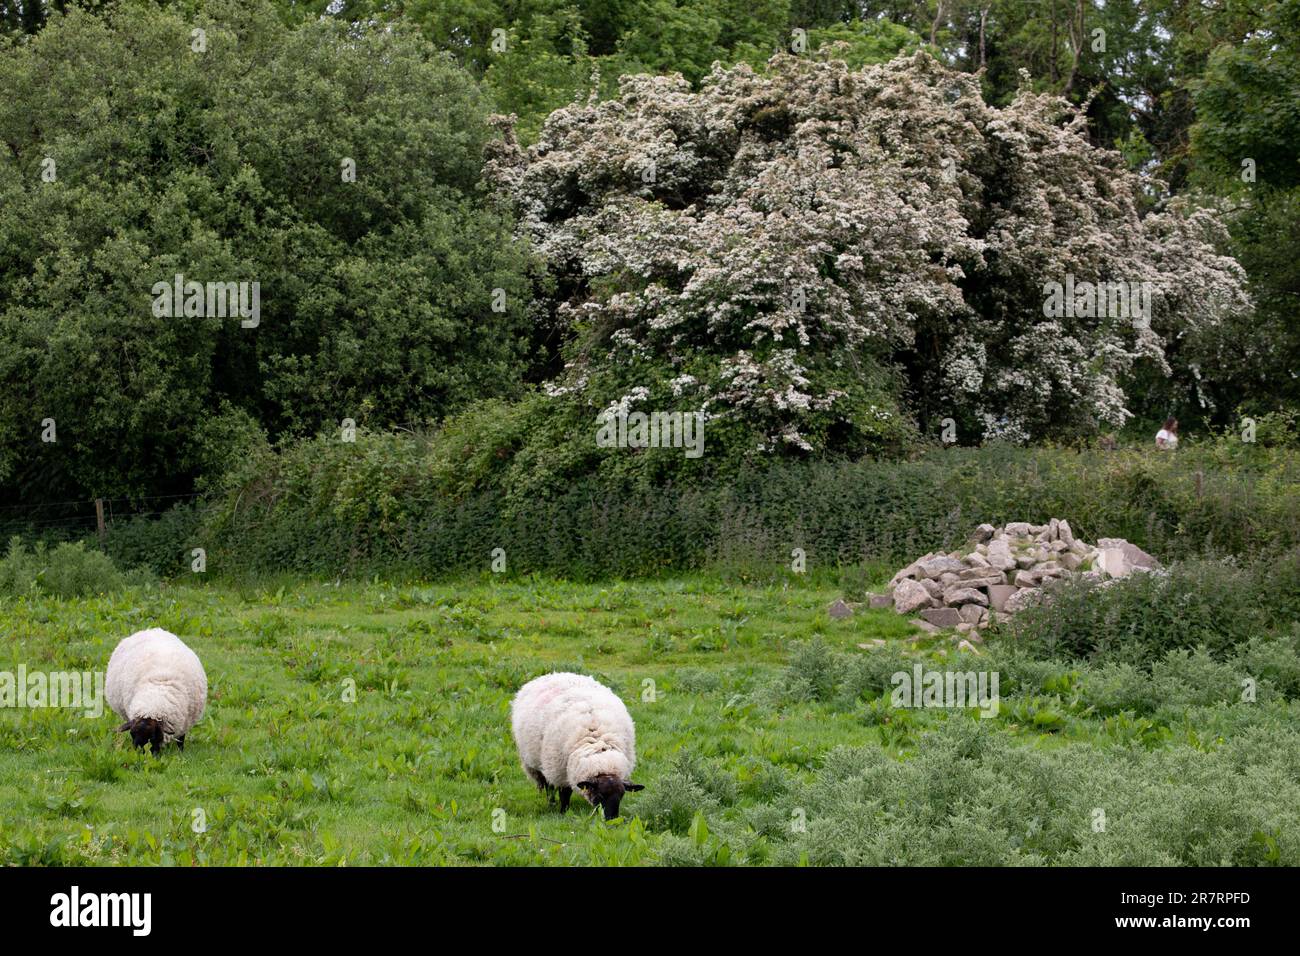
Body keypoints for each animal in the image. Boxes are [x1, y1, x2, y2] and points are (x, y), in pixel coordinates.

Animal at [512, 671, 644, 822]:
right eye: (600, 795)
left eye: (622, 795)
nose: (612, 819)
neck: (598, 747)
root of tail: (554, 674)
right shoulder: (560, 772)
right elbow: (564, 794)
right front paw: (563, 812)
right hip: (537, 763)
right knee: (548, 786)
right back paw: (551, 803)